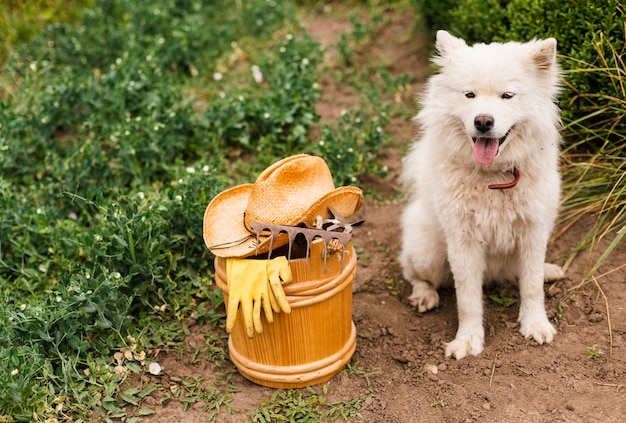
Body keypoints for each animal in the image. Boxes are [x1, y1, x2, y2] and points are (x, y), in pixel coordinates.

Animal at [400, 31, 564, 360]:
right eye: (469, 95)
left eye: (507, 96)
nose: (483, 121)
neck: (494, 178)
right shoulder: (463, 241)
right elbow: (468, 301)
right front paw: (467, 342)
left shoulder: (533, 232)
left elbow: (531, 286)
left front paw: (536, 325)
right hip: (429, 254)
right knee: (413, 273)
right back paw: (424, 295)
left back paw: (549, 270)